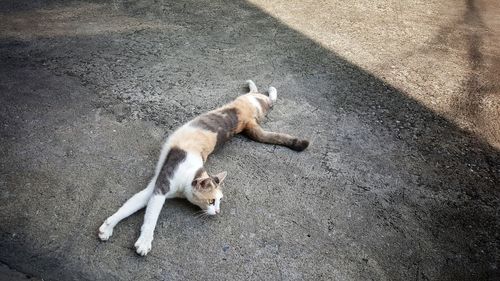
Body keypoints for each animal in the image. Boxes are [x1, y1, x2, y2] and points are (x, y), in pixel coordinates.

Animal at [97, 80, 308, 255]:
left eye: (220, 201)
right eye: (212, 201)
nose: (218, 212)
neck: (184, 182)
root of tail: (247, 121)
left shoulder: (158, 188)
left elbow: (143, 212)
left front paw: (133, 237)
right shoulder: (158, 186)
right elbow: (139, 211)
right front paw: (117, 230)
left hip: (259, 106)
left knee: (266, 97)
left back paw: (263, 87)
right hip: (256, 103)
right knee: (262, 95)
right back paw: (257, 86)